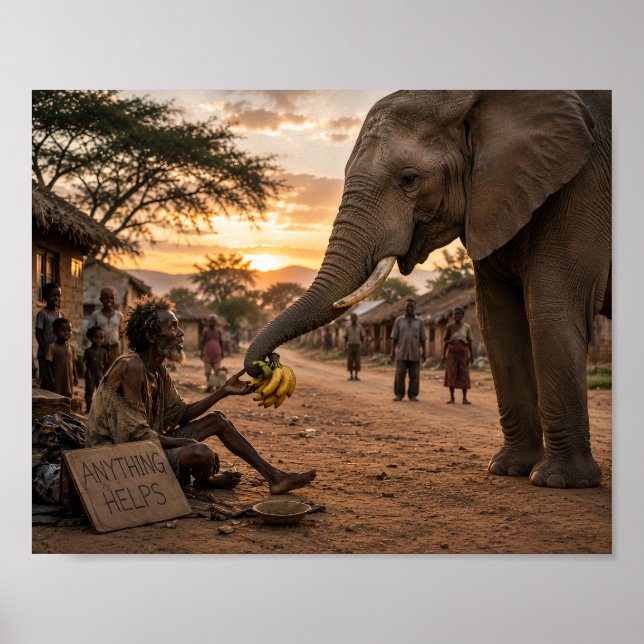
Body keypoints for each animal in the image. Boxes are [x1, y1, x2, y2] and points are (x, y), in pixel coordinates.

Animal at [244, 90, 611, 489]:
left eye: (409, 179)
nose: (266, 363)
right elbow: (497, 323)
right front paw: (509, 470)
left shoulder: (583, 189)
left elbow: (550, 311)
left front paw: (558, 481)